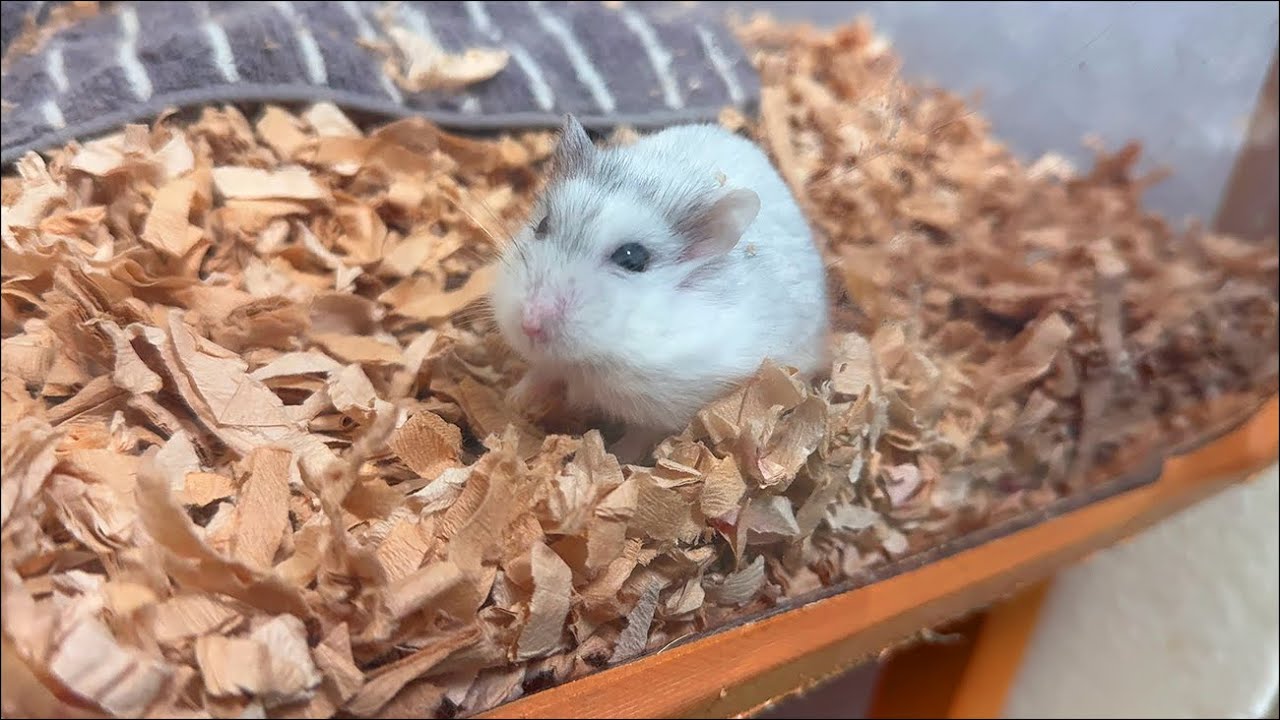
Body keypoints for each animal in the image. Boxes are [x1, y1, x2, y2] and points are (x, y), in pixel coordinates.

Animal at [489, 115, 830, 459]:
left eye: (633, 258)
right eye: (542, 226)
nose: (530, 325)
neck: (593, 357)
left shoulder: (666, 408)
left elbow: (641, 435)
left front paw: (618, 457)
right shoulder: (551, 363)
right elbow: (540, 373)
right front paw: (511, 400)